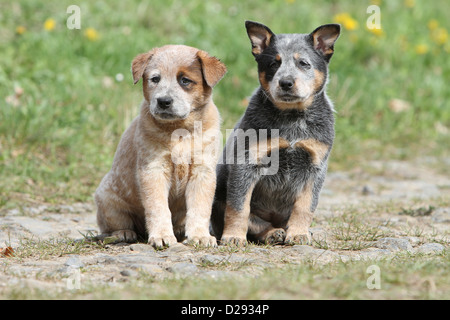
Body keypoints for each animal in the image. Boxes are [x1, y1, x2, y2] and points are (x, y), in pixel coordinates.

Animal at [96, 45, 227, 249]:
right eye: (155, 79)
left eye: (185, 80)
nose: (164, 101)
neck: (180, 132)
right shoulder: (153, 170)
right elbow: (158, 207)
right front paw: (162, 236)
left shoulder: (202, 171)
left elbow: (199, 208)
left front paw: (200, 236)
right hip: (107, 199)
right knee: (114, 225)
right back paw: (124, 233)